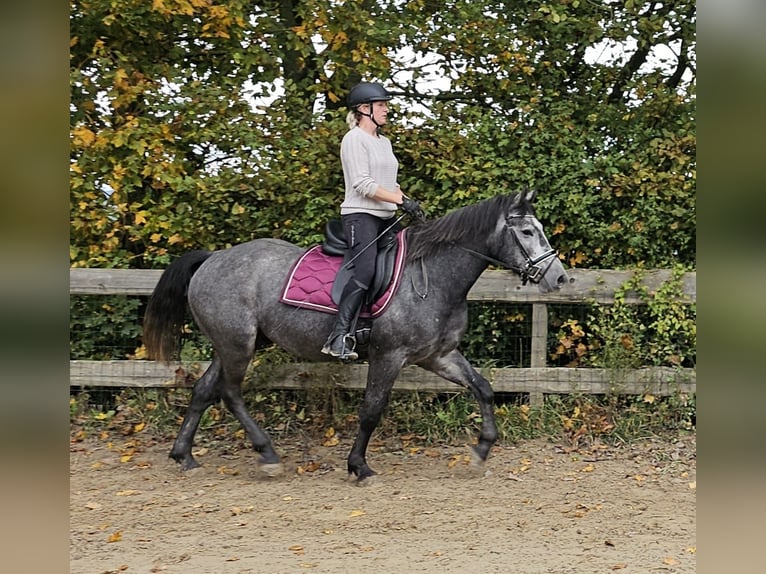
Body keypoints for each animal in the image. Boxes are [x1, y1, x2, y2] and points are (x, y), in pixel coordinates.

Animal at [142, 191, 568, 484]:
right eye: (527, 231)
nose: (560, 278)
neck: (432, 275)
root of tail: (213, 258)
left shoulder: (439, 355)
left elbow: (483, 388)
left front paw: (482, 449)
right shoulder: (388, 356)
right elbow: (371, 410)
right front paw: (359, 466)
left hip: (233, 343)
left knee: (203, 391)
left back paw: (185, 456)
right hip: (238, 345)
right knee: (230, 393)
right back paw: (267, 455)